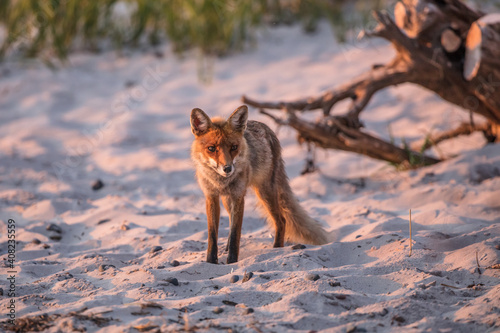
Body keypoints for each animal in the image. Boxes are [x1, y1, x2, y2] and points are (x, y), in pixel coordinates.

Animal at [188, 105, 328, 264]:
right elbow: (213, 234)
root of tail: (267, 129)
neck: (220, 181)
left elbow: (235, 233)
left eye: (234, 147)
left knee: (282, 220)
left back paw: (277, 249)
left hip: (264, 192)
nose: (227, 168)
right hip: (227, 199)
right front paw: (211, 261)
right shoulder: (211, 196)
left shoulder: (238, 197)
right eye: (211, 148)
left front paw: (232, 261)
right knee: (231, 219)